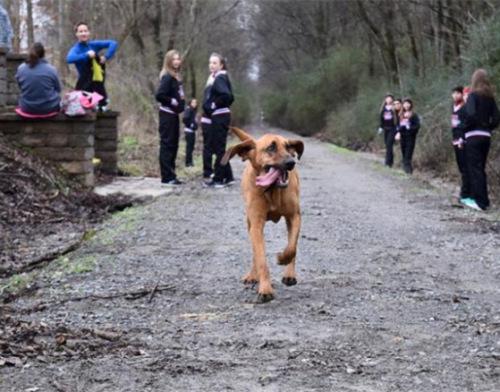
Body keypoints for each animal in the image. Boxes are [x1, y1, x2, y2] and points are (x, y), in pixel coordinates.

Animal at [223, 127, 304, 302]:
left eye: (288, 147)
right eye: (271, 147)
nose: (291, 162)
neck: (272, 190)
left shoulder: (294, 217)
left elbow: (292, 247)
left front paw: (283, 259)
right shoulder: (256, 224)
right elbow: (261, 258)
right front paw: (265, 288)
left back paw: (289, 274)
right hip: (249, 224)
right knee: (255, 252)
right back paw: (253, 275)